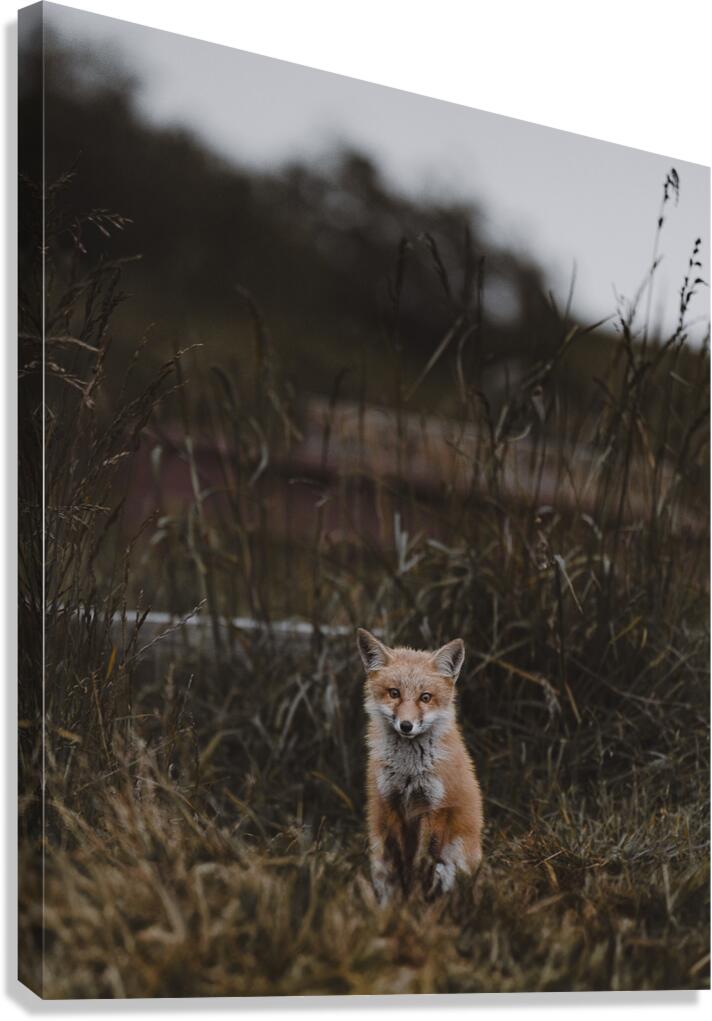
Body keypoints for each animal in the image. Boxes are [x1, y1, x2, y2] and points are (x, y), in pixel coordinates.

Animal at [357, 628, 483, 902]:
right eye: (394, 693)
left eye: (425, 697)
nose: (406, 726)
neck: (409, 772)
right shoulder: (390, 803)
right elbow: (399, 866)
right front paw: (398, 906)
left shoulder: (434, 808)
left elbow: (419, 866)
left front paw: (412, 903)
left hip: (453, 865)